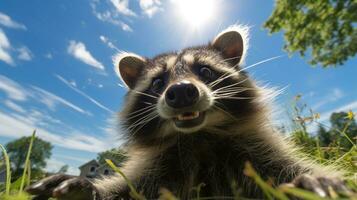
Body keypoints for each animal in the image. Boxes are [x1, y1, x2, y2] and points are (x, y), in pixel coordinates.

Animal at [27, 25, 350, 200]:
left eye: (205, 71)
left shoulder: (254, 151)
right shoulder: (160, 167)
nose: (181, 92)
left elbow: (287, 168)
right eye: (158, 82)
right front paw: (92, 188)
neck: (199, 136)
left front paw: (312, 182)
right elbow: (129, 188)